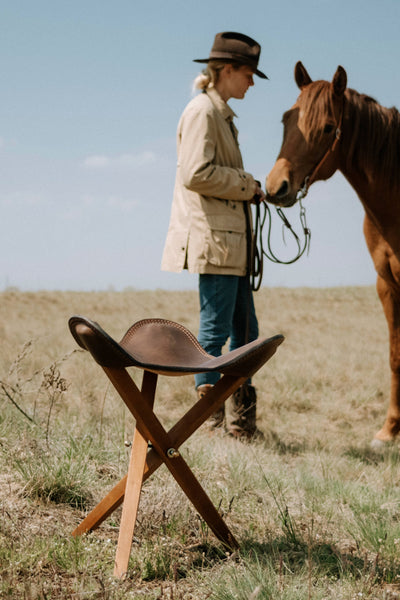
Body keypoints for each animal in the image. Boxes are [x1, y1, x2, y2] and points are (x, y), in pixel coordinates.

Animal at [266, 62, 400, 446]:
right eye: (286, 120)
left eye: (327, 128)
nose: (276, 186)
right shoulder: (387, 285)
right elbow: (395, 357)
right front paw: (389, 431)